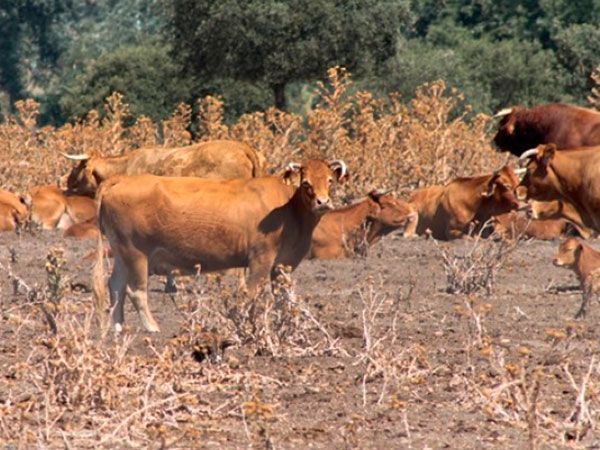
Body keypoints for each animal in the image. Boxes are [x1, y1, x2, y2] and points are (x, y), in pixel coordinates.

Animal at [91, 158, 350, 330]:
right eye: (306, 183)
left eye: (330, 180)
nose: (323, 202)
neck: (289, 209)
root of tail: (119, 180)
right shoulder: (261, 258)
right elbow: (250, 293)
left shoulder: (281, 264)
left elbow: (285, 297)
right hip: (136, 253)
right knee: (135, 291)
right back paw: (152, 328)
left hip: (122, 252)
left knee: (115, 286)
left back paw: (117, 328)